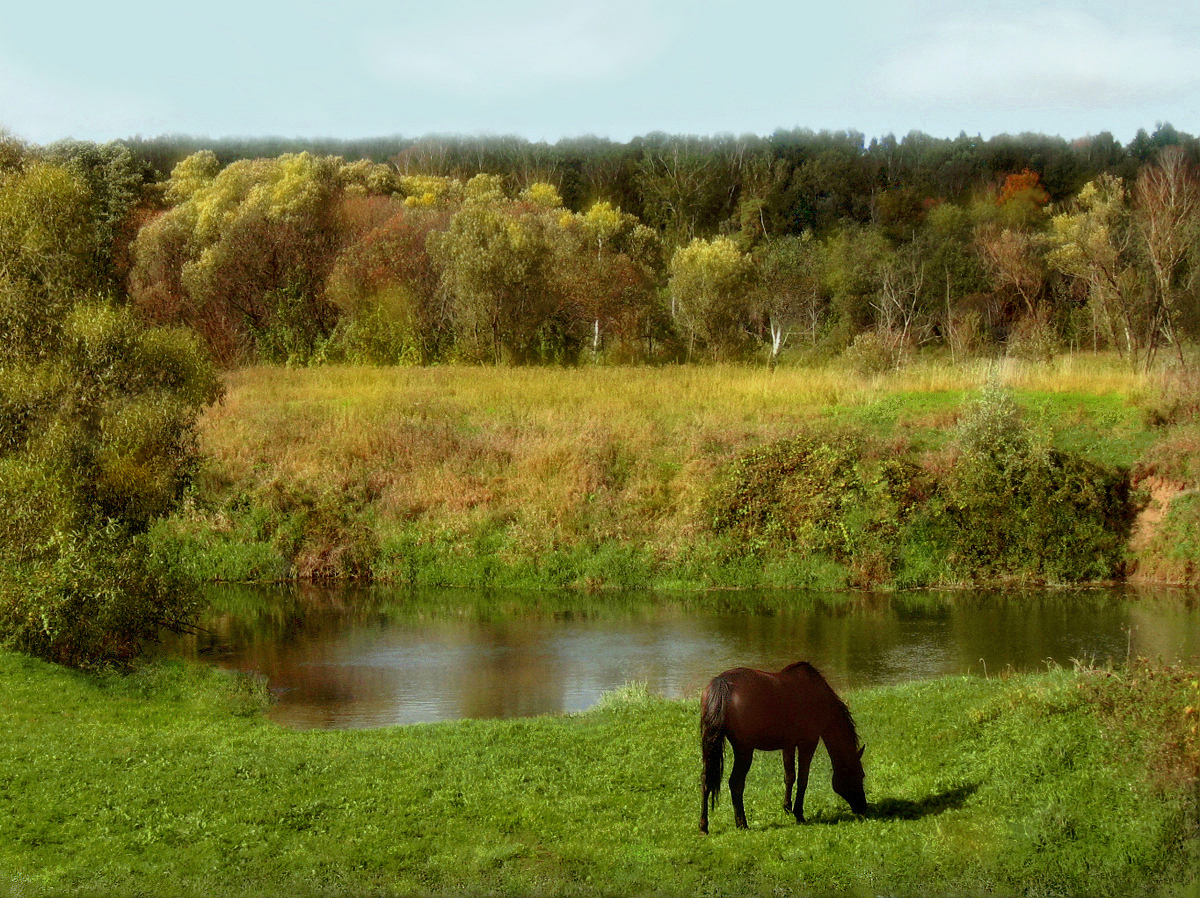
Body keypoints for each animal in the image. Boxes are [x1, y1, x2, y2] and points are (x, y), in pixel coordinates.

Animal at [700, 657, 868, 835]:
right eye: (860, 775)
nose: (863, 808)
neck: (818, 696)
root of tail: (721, 683)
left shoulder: (788, 745)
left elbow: (789, 776)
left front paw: (787, 807)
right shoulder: (808, 742)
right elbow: (802, 779)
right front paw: (799, 814)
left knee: (705, 779)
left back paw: (704, 826)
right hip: (744, 750)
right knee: (736, 783)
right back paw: (742, 823)